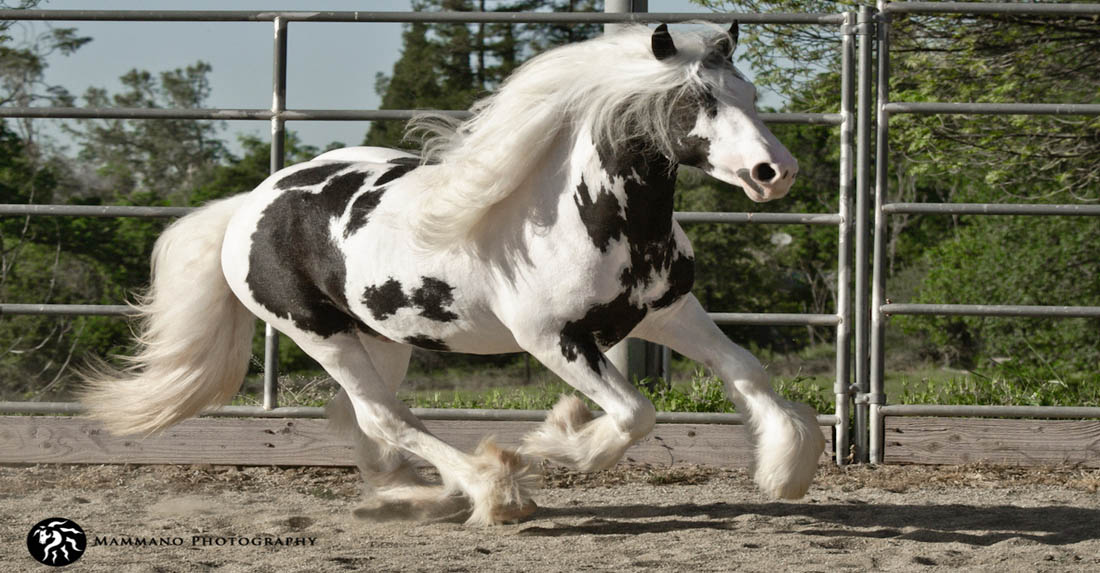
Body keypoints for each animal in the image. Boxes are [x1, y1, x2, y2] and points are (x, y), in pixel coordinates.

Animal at [81, 22, 827, 525]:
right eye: (697, 101)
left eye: (749, 92)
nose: (776, 172)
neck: (579, 215)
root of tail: (247, 207)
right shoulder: (554, 340)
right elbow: (634, 413)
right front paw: (552, 444)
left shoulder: (666, 312)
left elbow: (748, 371)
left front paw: (786, 470)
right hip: (317, 333)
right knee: (381, 417)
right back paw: (493, 487)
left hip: (382, 337)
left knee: (363, 420)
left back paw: (421, 494)